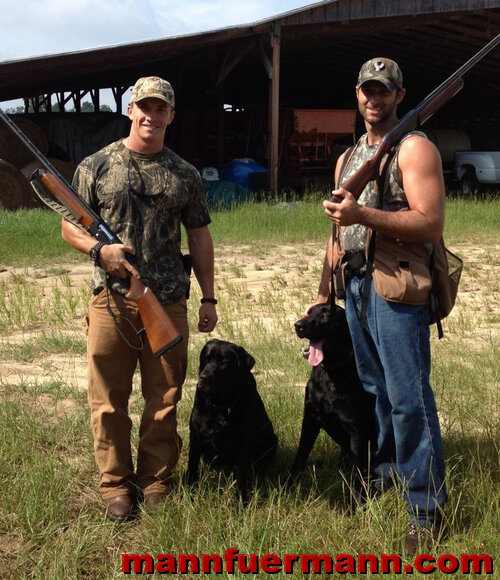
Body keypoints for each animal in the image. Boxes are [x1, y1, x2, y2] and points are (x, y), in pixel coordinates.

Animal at [186, 338, 278, 506]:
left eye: (224, 362)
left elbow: (241, 480)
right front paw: (190, 496)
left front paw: (242, 505)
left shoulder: (240, 446)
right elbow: (192, 469)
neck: (219, 405)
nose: (204, 377)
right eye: (206, 359)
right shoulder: (195, 438)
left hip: (271, 441)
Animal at [290, 302, 376, 500]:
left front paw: (359, 503)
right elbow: (300, 456)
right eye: (308, 312)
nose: (298, 325)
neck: (329, 372)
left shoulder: (357, 431)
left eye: (325, 315)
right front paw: (288, 488)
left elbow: (359, 475)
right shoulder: (310, 418)